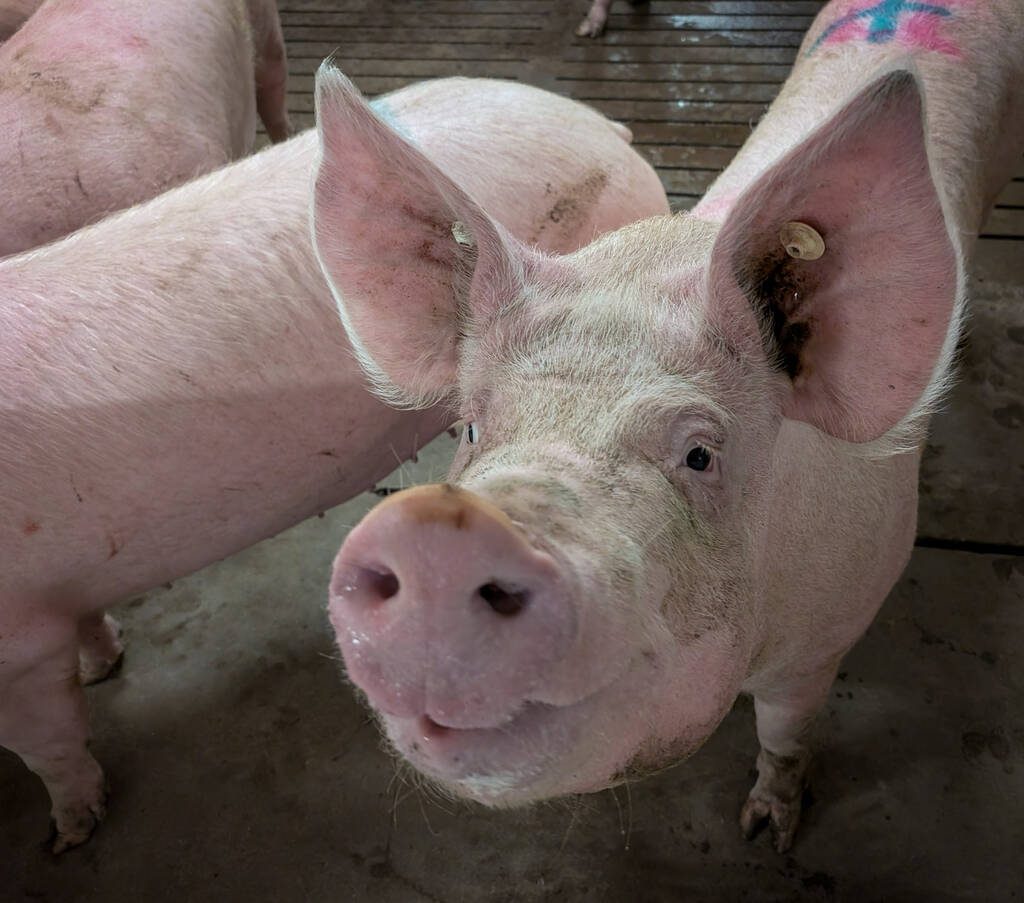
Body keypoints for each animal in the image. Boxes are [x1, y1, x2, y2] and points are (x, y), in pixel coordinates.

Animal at [316, 0, 1024, 852]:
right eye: (472, 428)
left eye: (699, 453)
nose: (438, 533)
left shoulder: (828, 635)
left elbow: (787, 733)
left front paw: (767, 833)